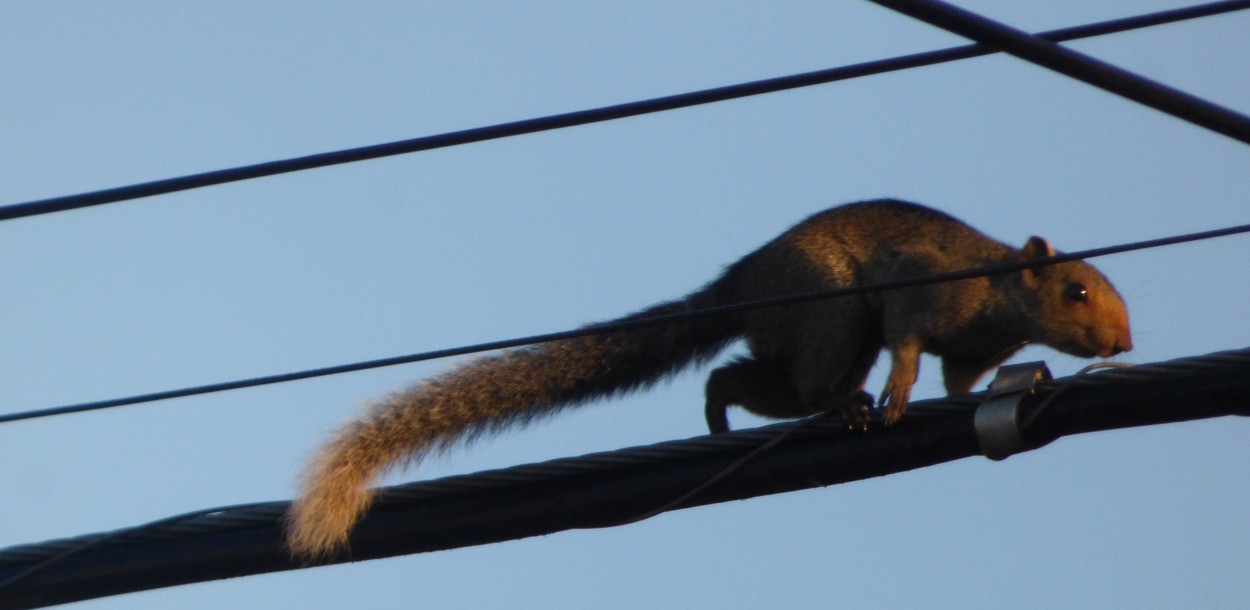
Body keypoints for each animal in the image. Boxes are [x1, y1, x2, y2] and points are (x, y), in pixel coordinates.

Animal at [286, 200, 1135, 557]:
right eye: (1075, 291)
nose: (1124, 341)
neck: (996, 286)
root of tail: (744, 281)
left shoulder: (973, 347)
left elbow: (961, 383)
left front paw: (969, 398)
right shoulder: (924, 288)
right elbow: (906, 342)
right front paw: (901, 393)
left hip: (806, 337)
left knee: (748, 378)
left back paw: (728, 412)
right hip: (830, 312)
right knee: (802, 380)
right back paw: (834, 405)